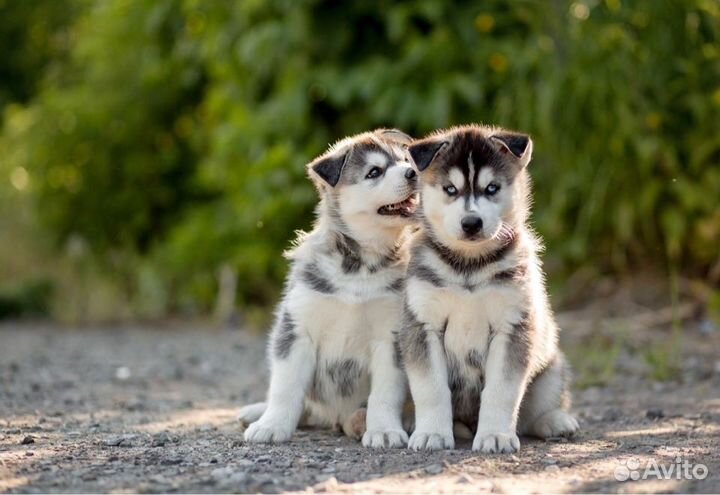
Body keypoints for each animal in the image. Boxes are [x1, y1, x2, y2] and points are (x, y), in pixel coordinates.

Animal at [238, 130, 416, 448]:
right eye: (374, 172)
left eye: (406, 160)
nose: (413, 172)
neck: (358, 268)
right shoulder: (297, 328)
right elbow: (285, 388)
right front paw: (272, 425)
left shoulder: (390, 337)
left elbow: (385, 394)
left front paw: (384, 430)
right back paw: (258, 412)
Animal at [400, 124, 580, 454]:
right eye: (450, 189)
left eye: (492, 188)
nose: (471, 222)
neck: (469, 266)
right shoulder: (423, 325)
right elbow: (431, 388)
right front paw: (431, 433)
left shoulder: (512, 326)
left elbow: (502, 390)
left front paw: (495, 435)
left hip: (551, 367)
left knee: (536, 410)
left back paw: (555, 421)